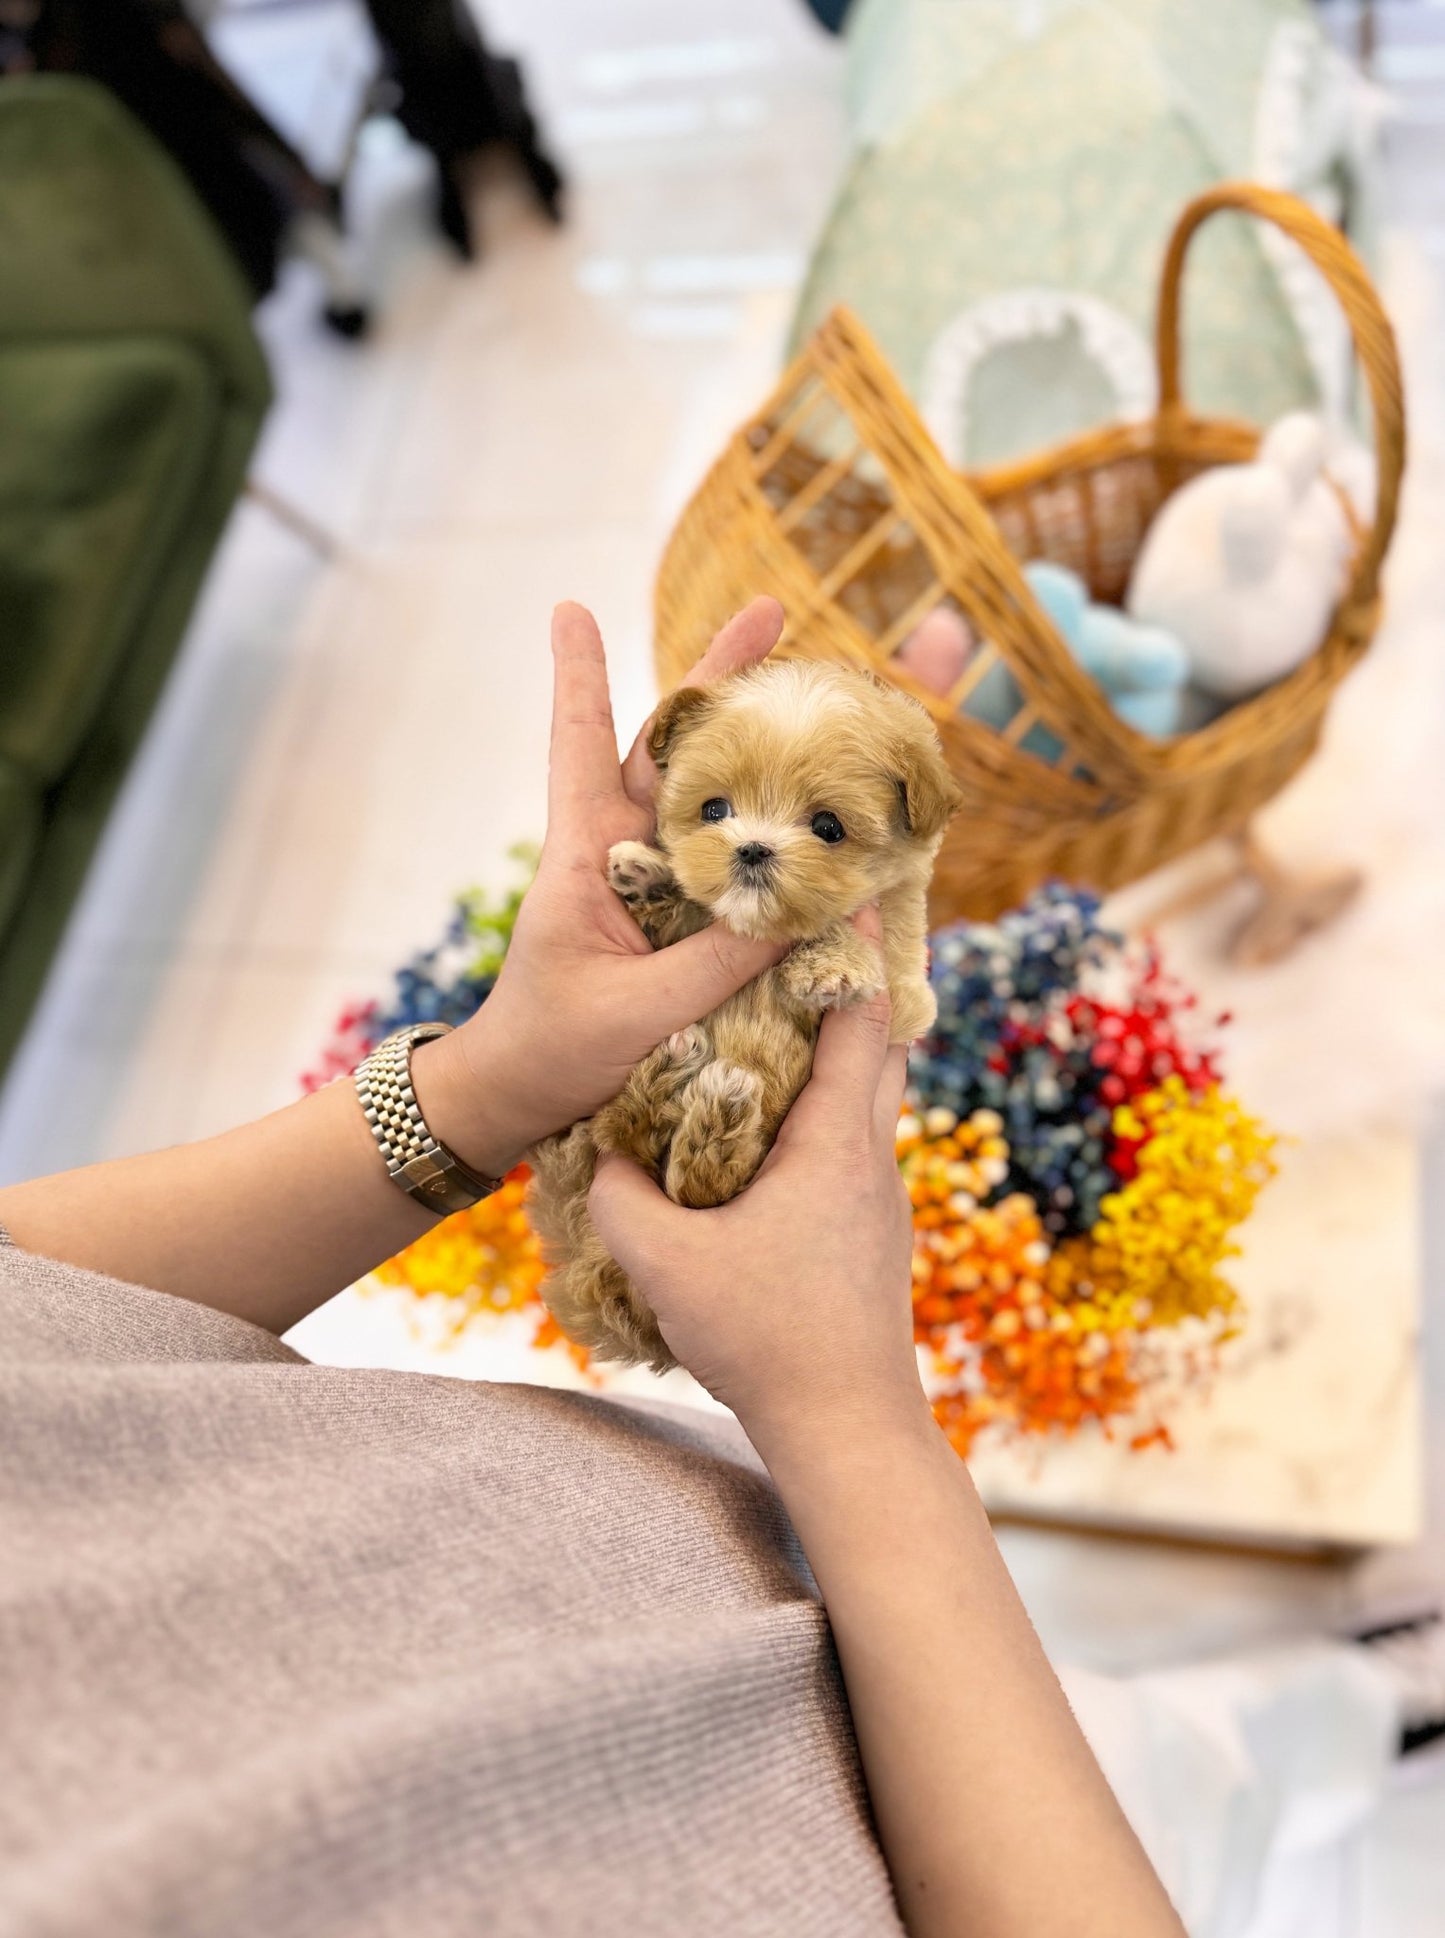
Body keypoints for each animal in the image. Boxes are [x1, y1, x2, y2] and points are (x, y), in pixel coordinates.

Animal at [530, 658, 956, 1372]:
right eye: (714, 810)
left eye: (828, 827)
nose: (752, 849)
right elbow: (678, 913)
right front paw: (651, 872)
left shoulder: (905, 993)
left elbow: (863, 951)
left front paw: (829, 962)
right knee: (628, 1137)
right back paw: (679, 1082)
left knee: (693, 1187)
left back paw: (716, 1116)